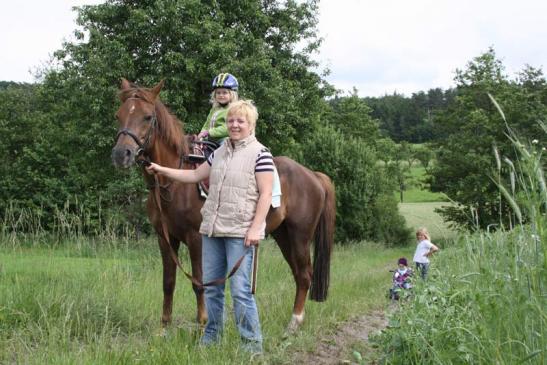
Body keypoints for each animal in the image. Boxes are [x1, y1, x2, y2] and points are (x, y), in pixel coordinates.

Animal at [111, 79, 334, 330]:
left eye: (147, 117)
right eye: (119, 115)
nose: (121, 154)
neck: (173, 184)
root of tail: (313, 176)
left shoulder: (196, 238)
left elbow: (199, 281)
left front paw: (202, 323)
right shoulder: (165, 239)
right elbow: (168, 282)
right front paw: (164, 327)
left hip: (300, 236)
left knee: (305, 274)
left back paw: (294, 323)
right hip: (284, 235)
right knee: (298, 273)